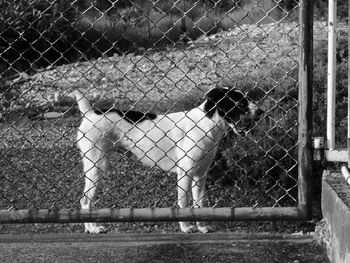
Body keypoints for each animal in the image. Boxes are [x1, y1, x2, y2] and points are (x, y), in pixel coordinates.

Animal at [75, 87, 264, 234]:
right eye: (240, 103)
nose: (261, 112)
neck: (205, 124)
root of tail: (90, 114)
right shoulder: (185, 174)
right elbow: (184, 204)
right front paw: (186, 228)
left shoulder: (200, 176)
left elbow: (199, 204)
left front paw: (202, 227)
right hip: (97, 167)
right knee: (85, 201)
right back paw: (93, 228)